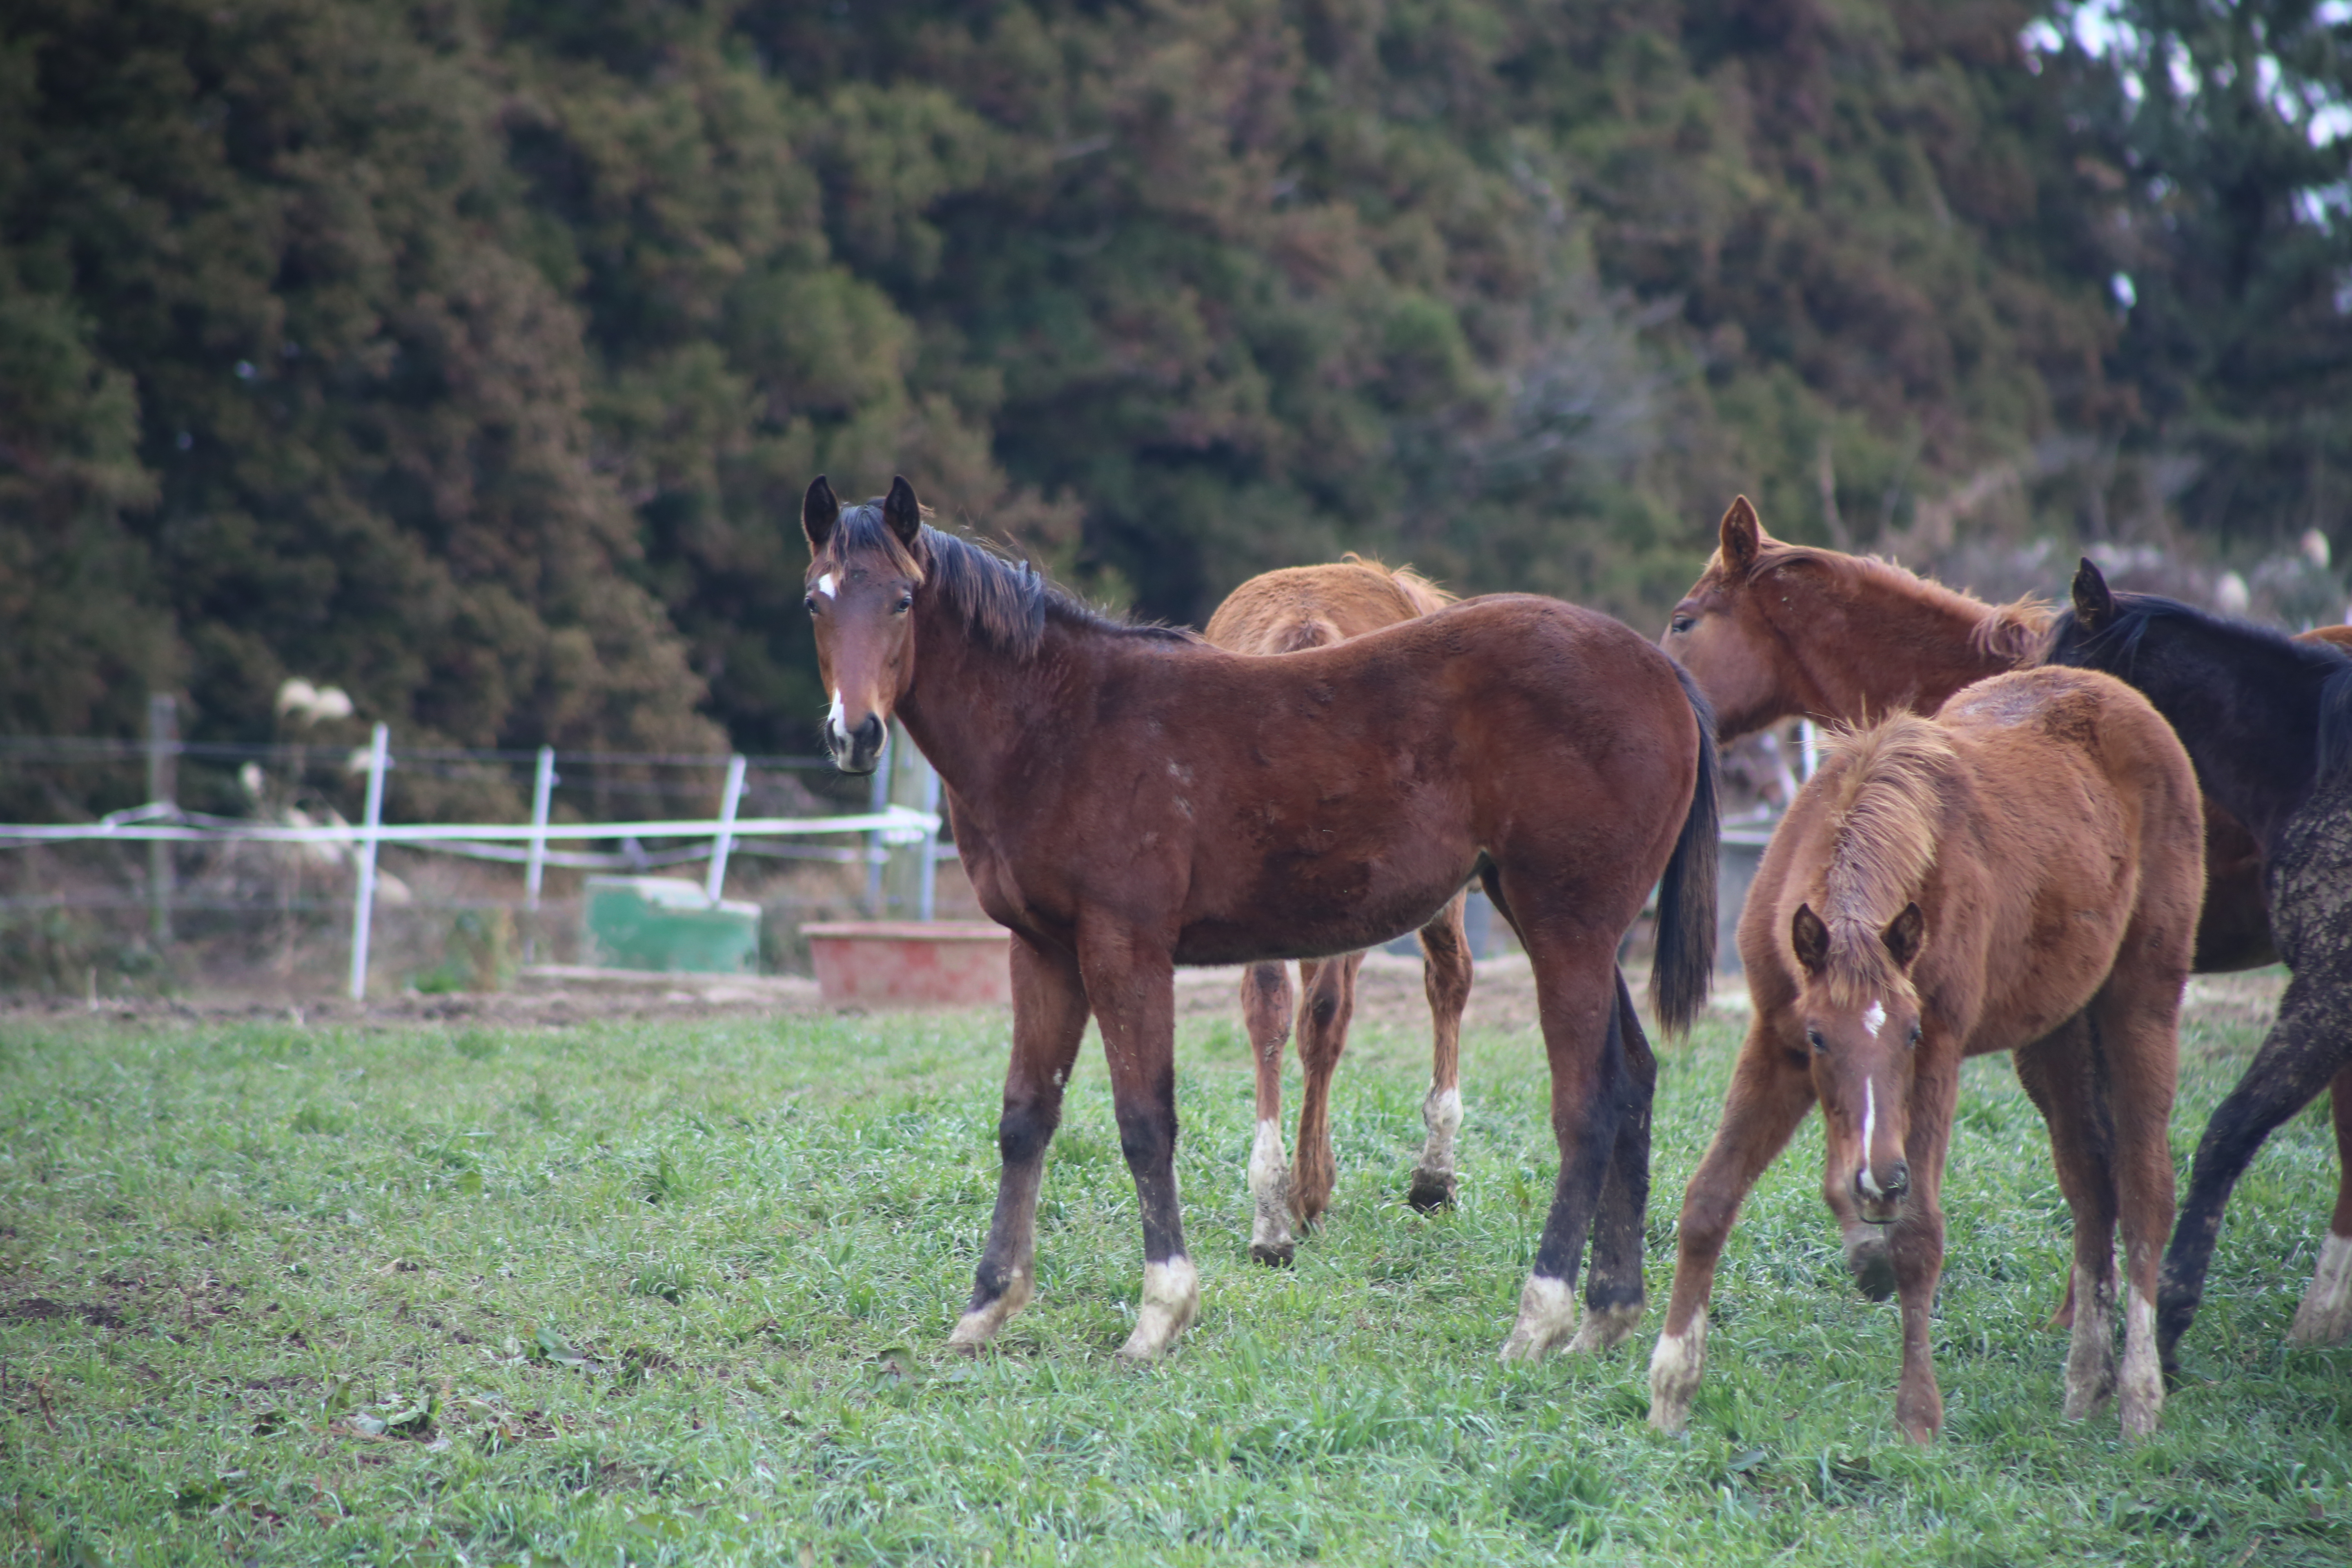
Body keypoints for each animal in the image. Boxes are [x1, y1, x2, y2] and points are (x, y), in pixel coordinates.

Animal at [1637, 668, 2201, 1439]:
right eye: (1818, 1037)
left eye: (1908, 1033)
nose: (1881, 1178)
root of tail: (2116, 693)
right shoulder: (1774, 1042)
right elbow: (1709, 1199)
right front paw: (1670, 1393)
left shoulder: (1939, 1052)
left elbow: (1918, 1234)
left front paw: (1918, 1419)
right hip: (2054, 1033)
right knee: (2090, 1183)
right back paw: (2086, 1380)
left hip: (2141, 999)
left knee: (2145, 1186)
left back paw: (2140, 1397)